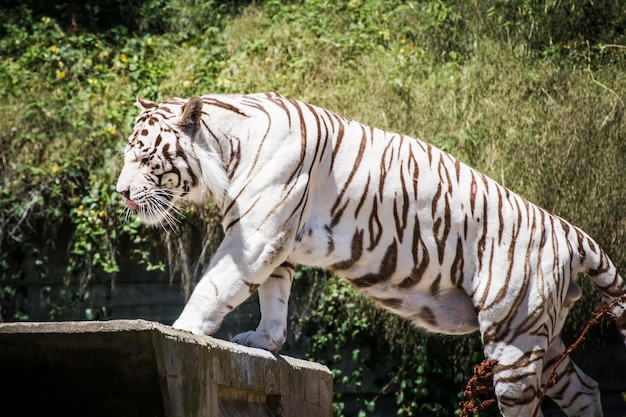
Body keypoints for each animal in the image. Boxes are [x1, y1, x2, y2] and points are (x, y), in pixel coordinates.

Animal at [117, 92, 624, 414]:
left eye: (143, 158)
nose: (121, 192)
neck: (227, 147)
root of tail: (569, 231)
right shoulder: (274, 242)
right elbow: (274, 298)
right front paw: (263, 341)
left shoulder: (256, 233)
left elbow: (215, 285)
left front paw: (182, 331)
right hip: (539, 331)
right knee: (585, 388)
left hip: (512, 340)